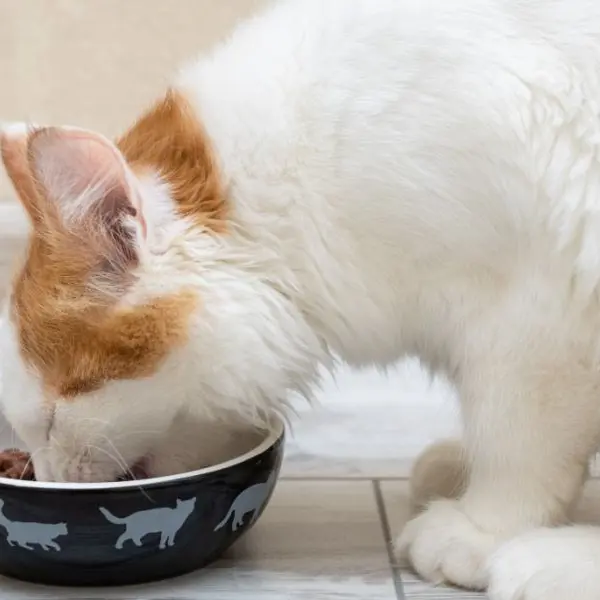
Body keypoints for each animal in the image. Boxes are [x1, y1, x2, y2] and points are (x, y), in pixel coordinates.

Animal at [1, 0, 600, 596]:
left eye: (52, 418)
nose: (49, 478)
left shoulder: (532, 318)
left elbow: (514, 440)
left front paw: (485, 527)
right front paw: (460, 469)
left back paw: (540, 562)